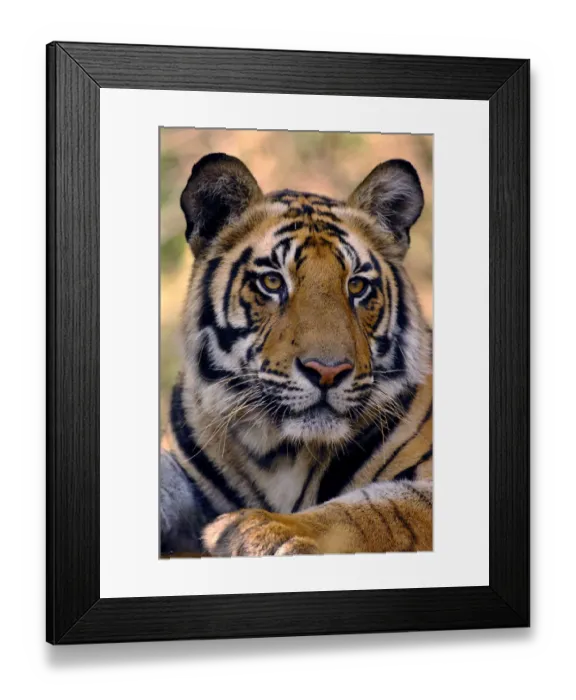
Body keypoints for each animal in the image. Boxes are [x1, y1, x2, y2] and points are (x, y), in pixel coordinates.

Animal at [160, 152, 433, 557]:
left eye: (357, 286)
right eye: (272, 282)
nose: (327, 371)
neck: (278, 452)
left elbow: (375, 510)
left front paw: (259, 528)